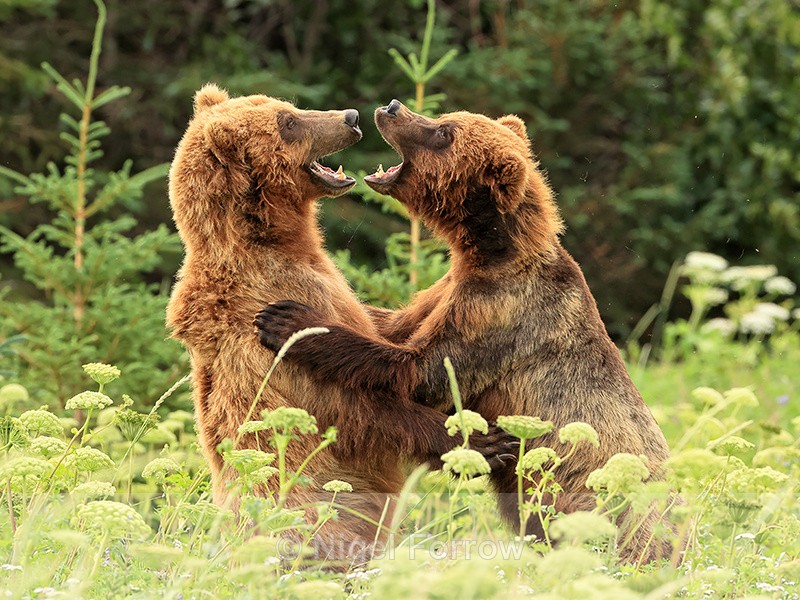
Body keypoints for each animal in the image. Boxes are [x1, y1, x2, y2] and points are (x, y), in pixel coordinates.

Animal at [166, 87, 513, 568]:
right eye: (289, 122)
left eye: (288, 107)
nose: (349, 116)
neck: (271, 241)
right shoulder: (278, 311)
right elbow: (356, 404)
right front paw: (480, 442)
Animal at [253, 99, 678, 565]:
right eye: (446, 120)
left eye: (444, 133)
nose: (392, 107)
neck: (490, 252)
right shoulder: (449, 290)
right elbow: (394, 326)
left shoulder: (503, 312)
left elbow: (420, 369)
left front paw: (288, 320)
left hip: (599, 503)